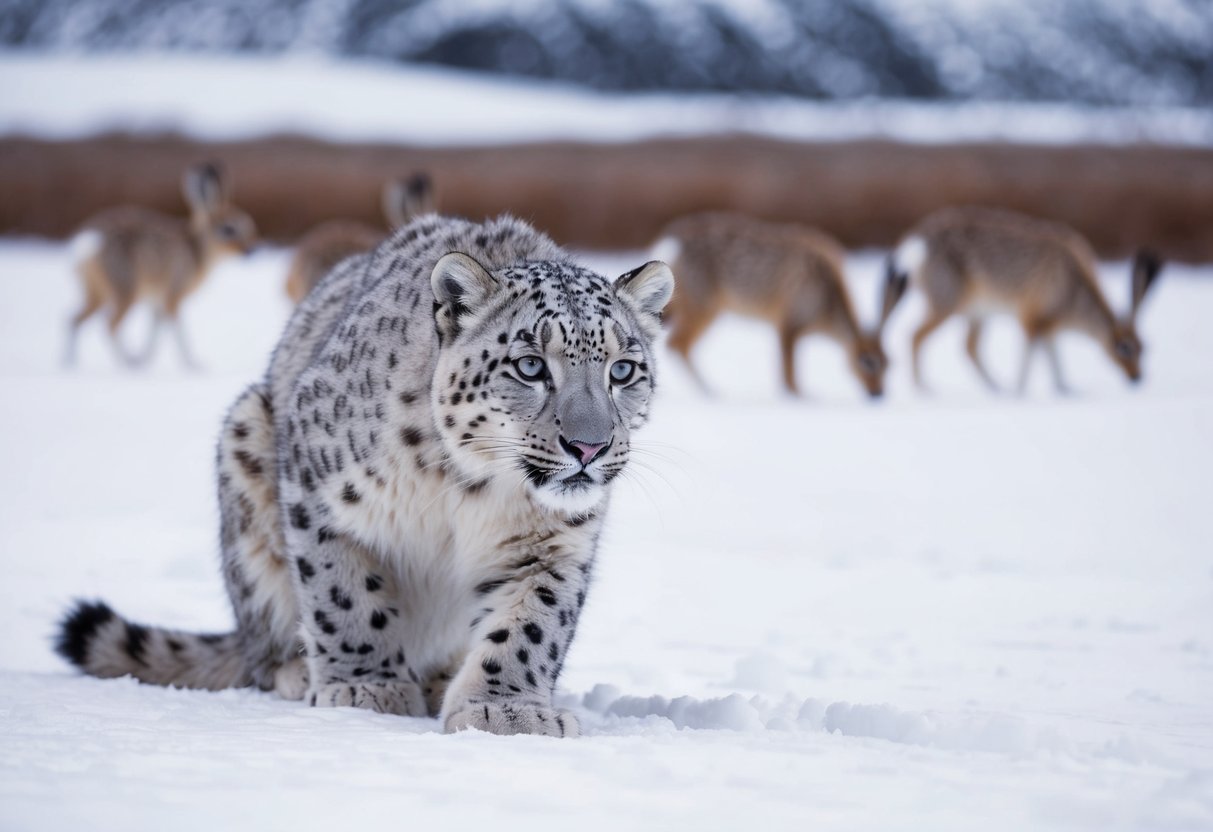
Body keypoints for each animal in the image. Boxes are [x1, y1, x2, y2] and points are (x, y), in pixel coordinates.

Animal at [56, 214, 674, 738]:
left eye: (623, 369)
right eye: (529, 366)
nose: (589, 446)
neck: (472, 488)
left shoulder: (554, 543)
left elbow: (531, 624)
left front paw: (506, 709)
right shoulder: (319, 491)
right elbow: (342, 591)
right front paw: (364, 687)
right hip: (246, 446)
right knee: (262, 645)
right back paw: (301, 672)